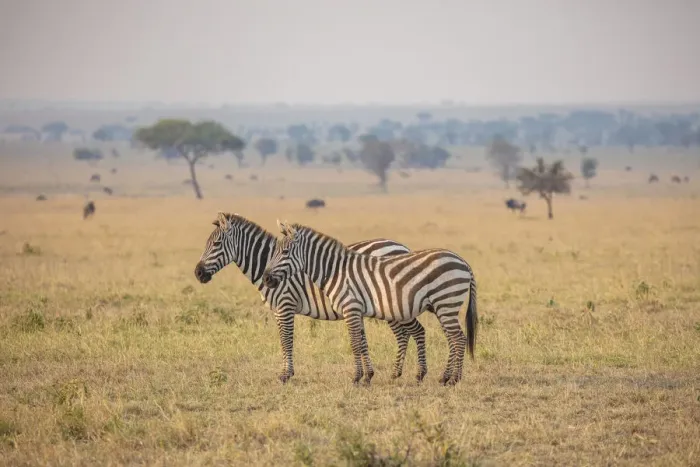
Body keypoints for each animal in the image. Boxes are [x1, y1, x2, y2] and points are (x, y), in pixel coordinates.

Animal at [193, 212, 429, 383]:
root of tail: (401, 246)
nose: (198, 273)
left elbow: (286, 340)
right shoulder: (280, 310)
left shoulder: (285, 305)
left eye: (215, 245)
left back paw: (411, 373)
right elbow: (284, 341)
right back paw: (396, 373)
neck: (269, 264)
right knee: (404, 334)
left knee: (409, 332)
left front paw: (286, 375)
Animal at [262, 221, 477, 386]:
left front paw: (356, 378)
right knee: (453, 339)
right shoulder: (356, 311)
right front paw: (365, 377)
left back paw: (454, 380)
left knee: (459, 339)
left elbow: (355, 343)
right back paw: (444, 377)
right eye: (274, 252)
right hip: (444, 307)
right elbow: (361, 342)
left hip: (446, 303)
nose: (266, 279)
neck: (335, 271)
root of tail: (463, 261)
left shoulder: (350, 308)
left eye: (285, 252)